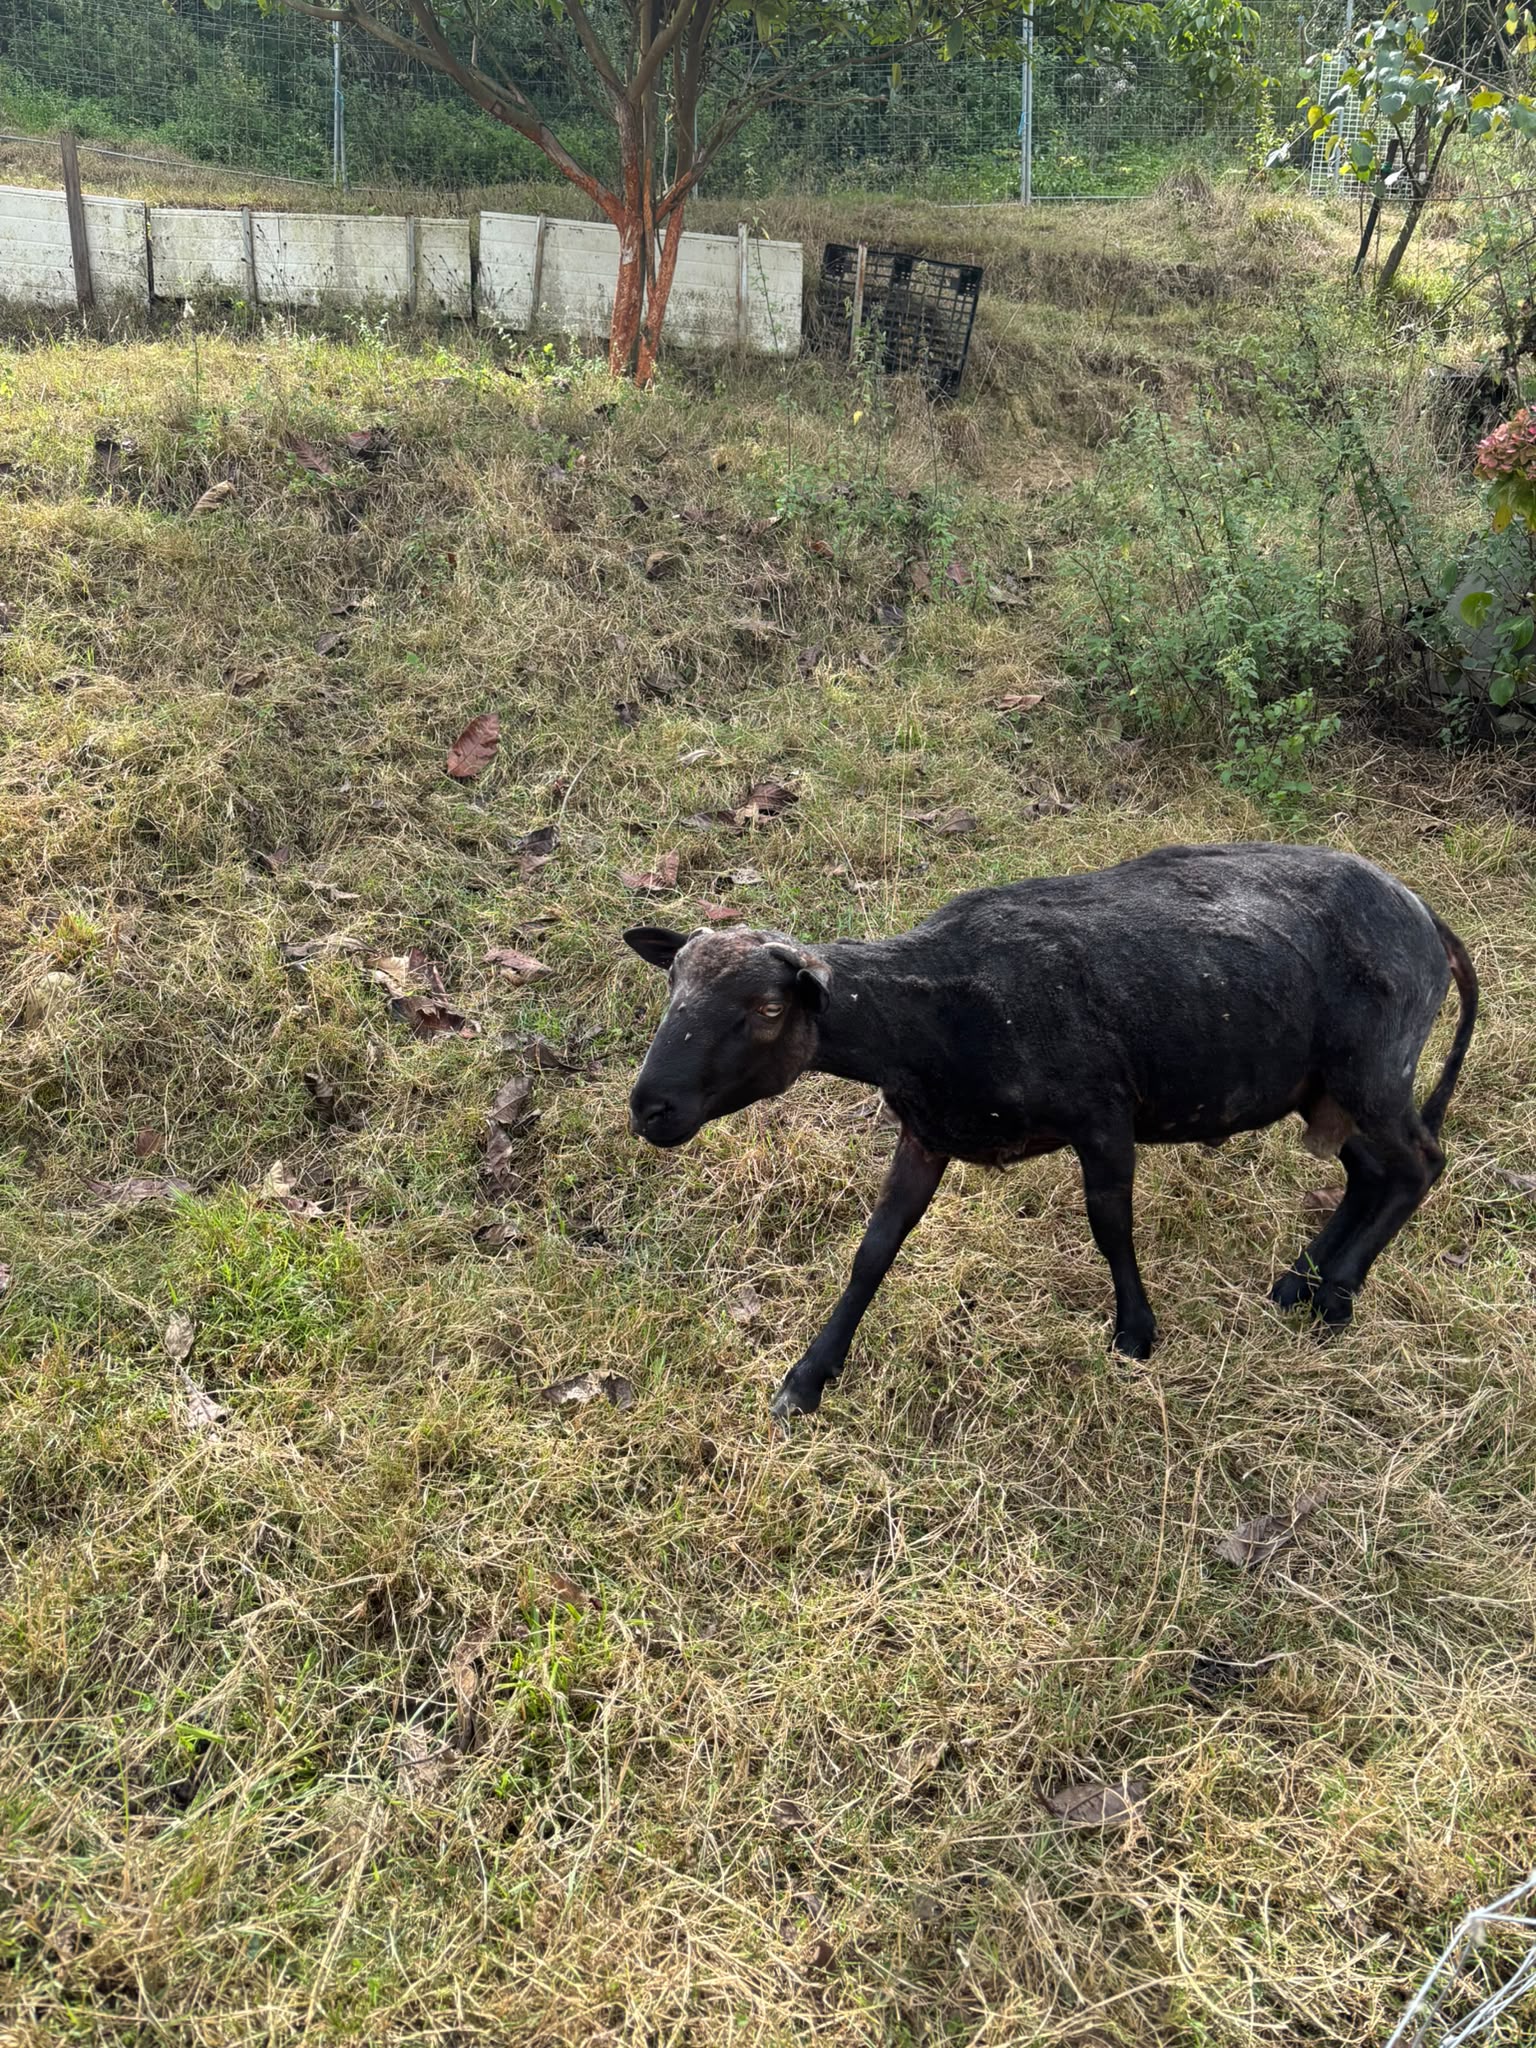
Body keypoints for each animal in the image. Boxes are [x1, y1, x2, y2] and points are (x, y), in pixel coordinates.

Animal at [624, 842, 1478, 1421]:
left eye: (769, 1010)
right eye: (671, 988)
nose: (649, 1108)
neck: (934, 1018)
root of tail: (1429, 918)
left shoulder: (1102, 1117)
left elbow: (1111, 1227)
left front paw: (1135, 1334)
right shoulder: (926, 1134)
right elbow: (875, 1250)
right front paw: (807, 1377)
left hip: (1374, 1068)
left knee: (1419, 1165)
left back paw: (1336, 1296)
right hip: (1322, 1083)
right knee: (1370, 1172)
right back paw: (1297, 1284)